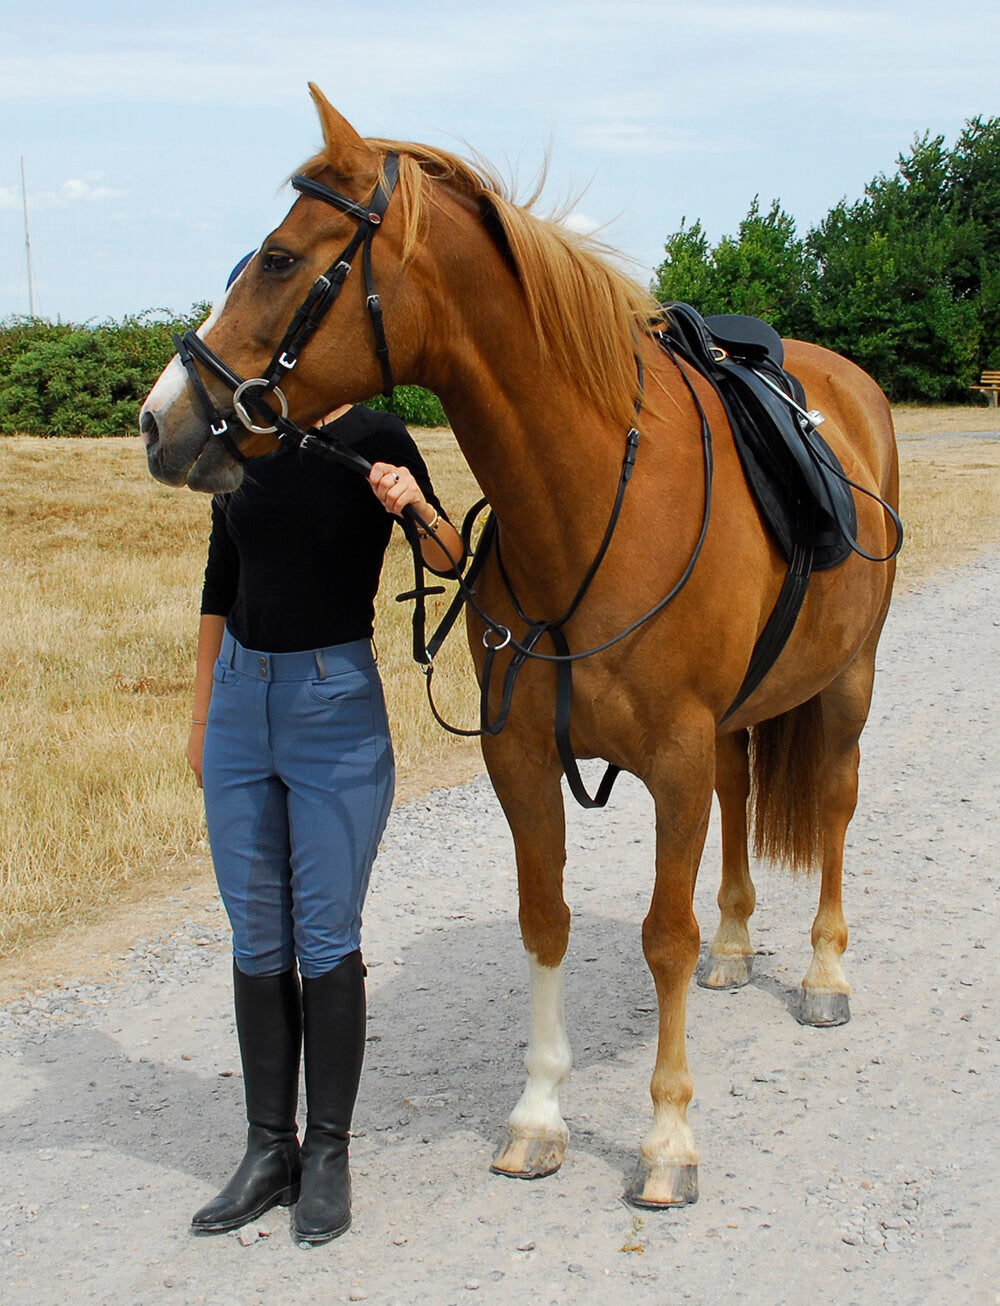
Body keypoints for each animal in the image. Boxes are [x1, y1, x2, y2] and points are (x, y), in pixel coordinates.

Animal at [140, 86, 898, 1206]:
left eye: (277, 259)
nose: (162, 421)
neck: (590, 507)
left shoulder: (672, 757)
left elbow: (659, 937)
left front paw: (667, 1137)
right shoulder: (524, 755)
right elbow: (547, 918)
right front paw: (539, 1115)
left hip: (846, 685)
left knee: (835, 808)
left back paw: (824, 972)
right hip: (734, 724)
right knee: (740, 797)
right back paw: (735, 943)